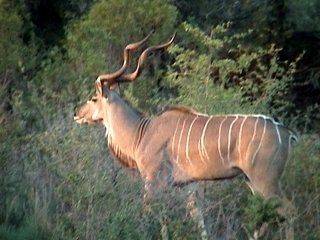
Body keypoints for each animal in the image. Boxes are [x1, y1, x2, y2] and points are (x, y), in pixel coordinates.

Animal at [74, 32, 296, 239]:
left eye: (93, 98)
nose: (76, 113)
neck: (142, 132)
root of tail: (285, 133)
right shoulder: (187, 184)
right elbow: (194, 215)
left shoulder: (153, 179)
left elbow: (151, 211)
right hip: (250, 180)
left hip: (264, 179)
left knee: (287, 210)